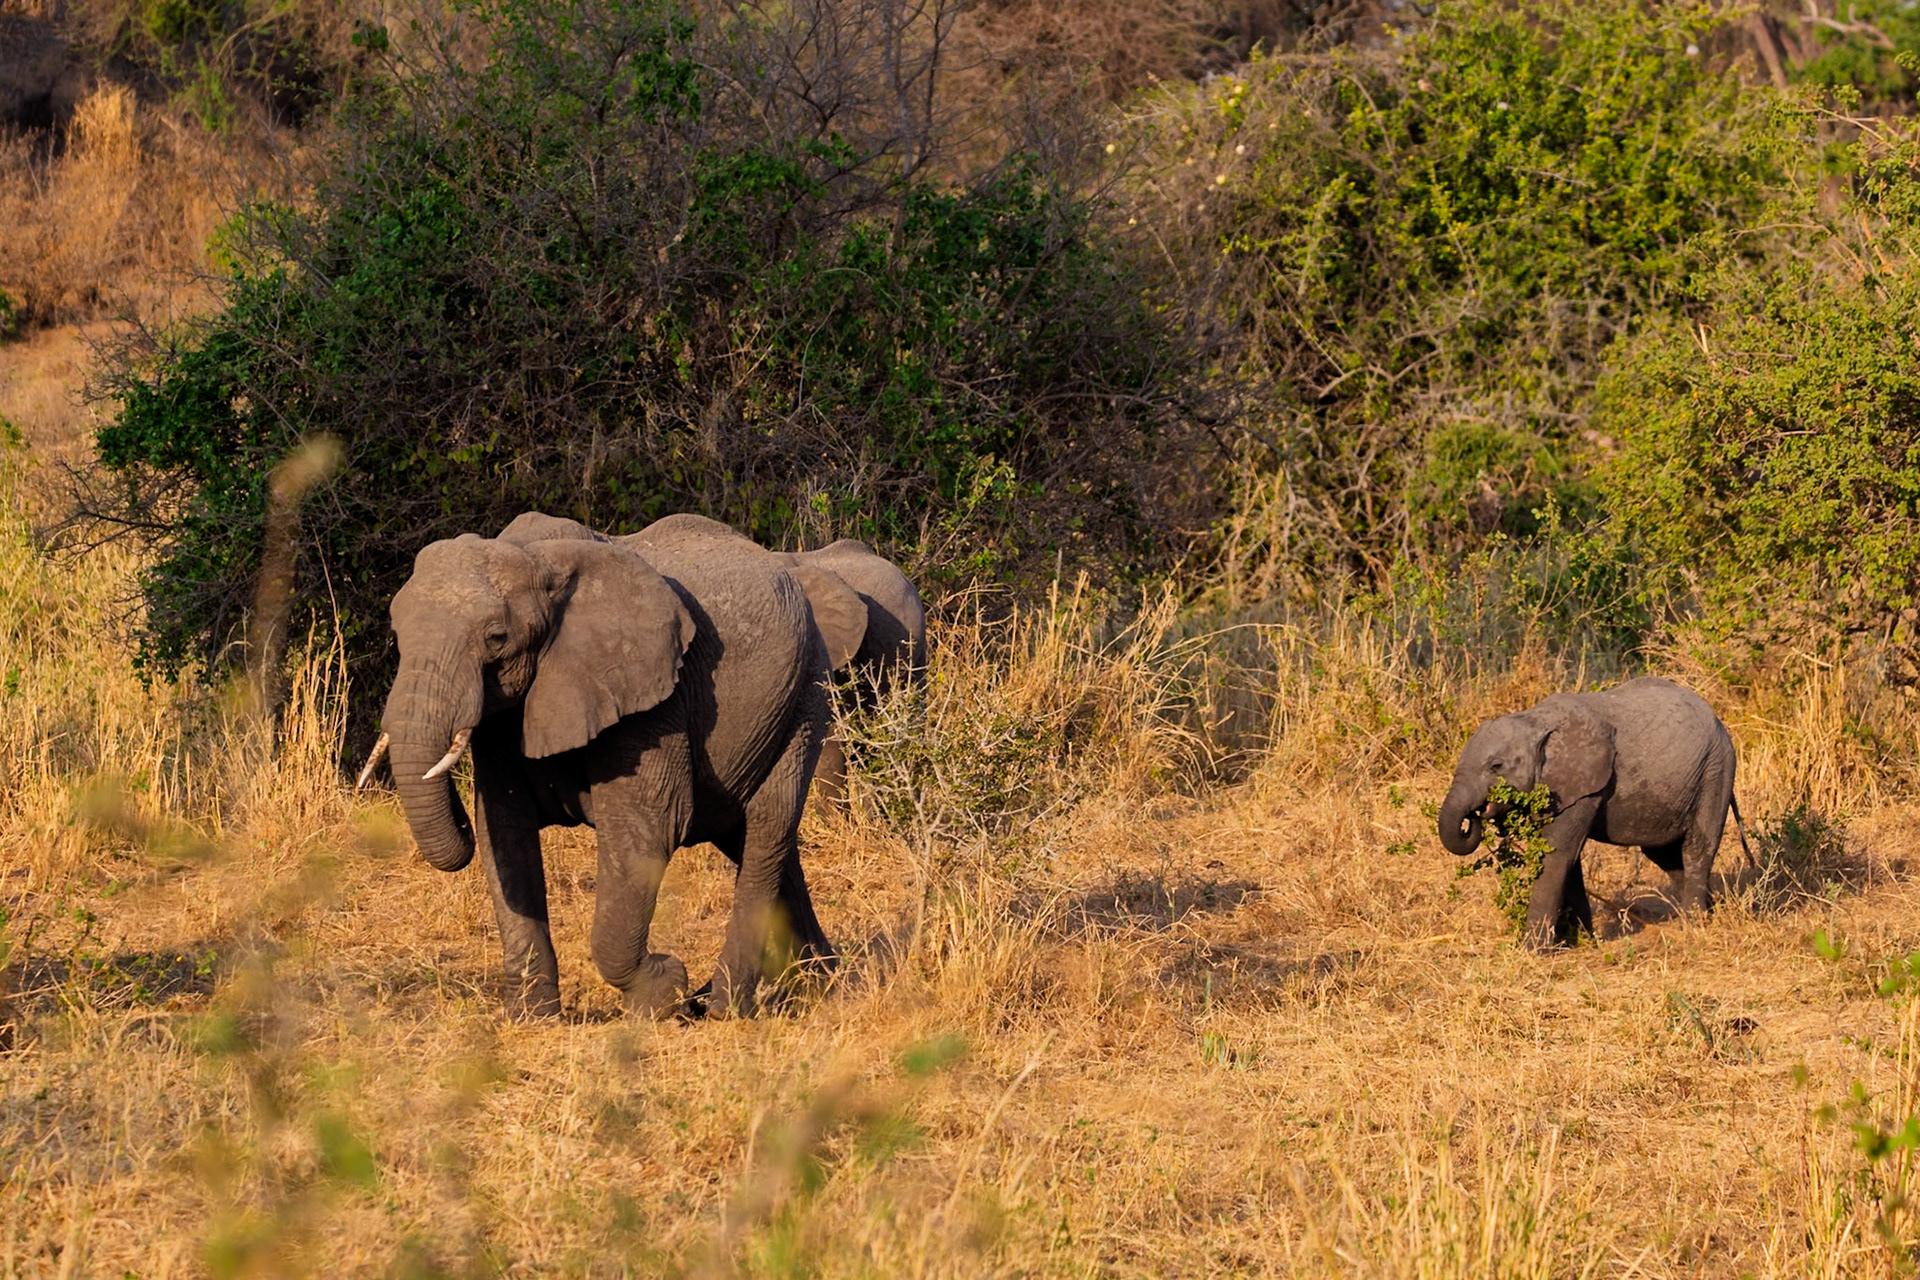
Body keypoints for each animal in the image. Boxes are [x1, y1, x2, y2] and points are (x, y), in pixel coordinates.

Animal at [356, 510, 837, 1019]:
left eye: (496, 638)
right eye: (397, 636)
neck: (536, 560)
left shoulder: (653, 698)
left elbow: (648, 829)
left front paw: (663, 991)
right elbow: (502, 831)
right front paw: (532, 1017)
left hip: (805, 694)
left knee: (767, 828)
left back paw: (726, 1005)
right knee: (749, 840)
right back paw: (823, 980)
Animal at [1436, 676, 1745, 948]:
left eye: (1496, 766)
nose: (1474, 816)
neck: (1535, 721)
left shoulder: (1584, 785)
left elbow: (1557, 855)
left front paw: (1533, 951)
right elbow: (1569, 862)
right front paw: (1581, 942)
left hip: (1715, 770)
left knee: (1696, 849)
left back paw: (1694, 926)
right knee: (1664, 855)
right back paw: (1709, 912)